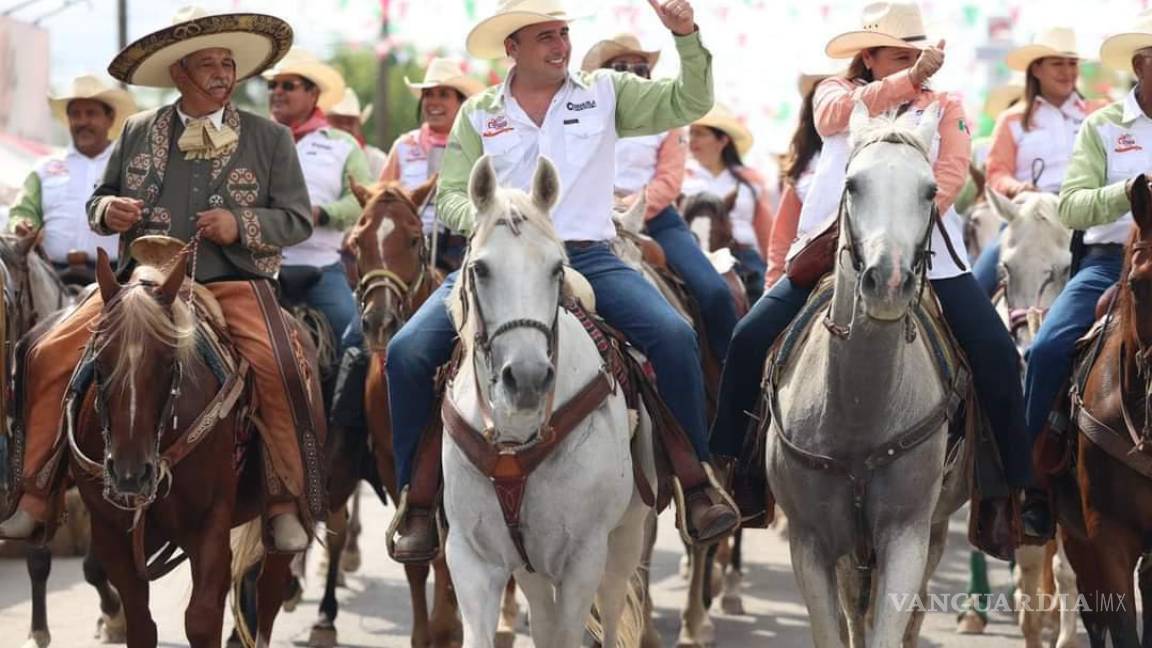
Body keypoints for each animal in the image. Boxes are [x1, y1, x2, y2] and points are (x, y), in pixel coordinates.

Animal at [65, 250, 294, 641]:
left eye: (169, 361)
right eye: (100, 360)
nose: (130, 474)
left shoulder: (210, 522)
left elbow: (202, 618)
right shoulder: (111, 535)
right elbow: (140, 621)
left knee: (269, 594)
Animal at [442, 156, 654, 645]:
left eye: (557, 268)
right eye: (480, 269)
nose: (527, 379)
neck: (516, 440)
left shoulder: (583, 559)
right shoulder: (471, 557)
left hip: (625, 536)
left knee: (612, 609)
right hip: (531, 566)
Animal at [764, 103, 972, 641]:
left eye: (930, 191)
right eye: (853, 184)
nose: (889, 282)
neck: (859, 407)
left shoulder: (906, 537)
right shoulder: (809, 542)